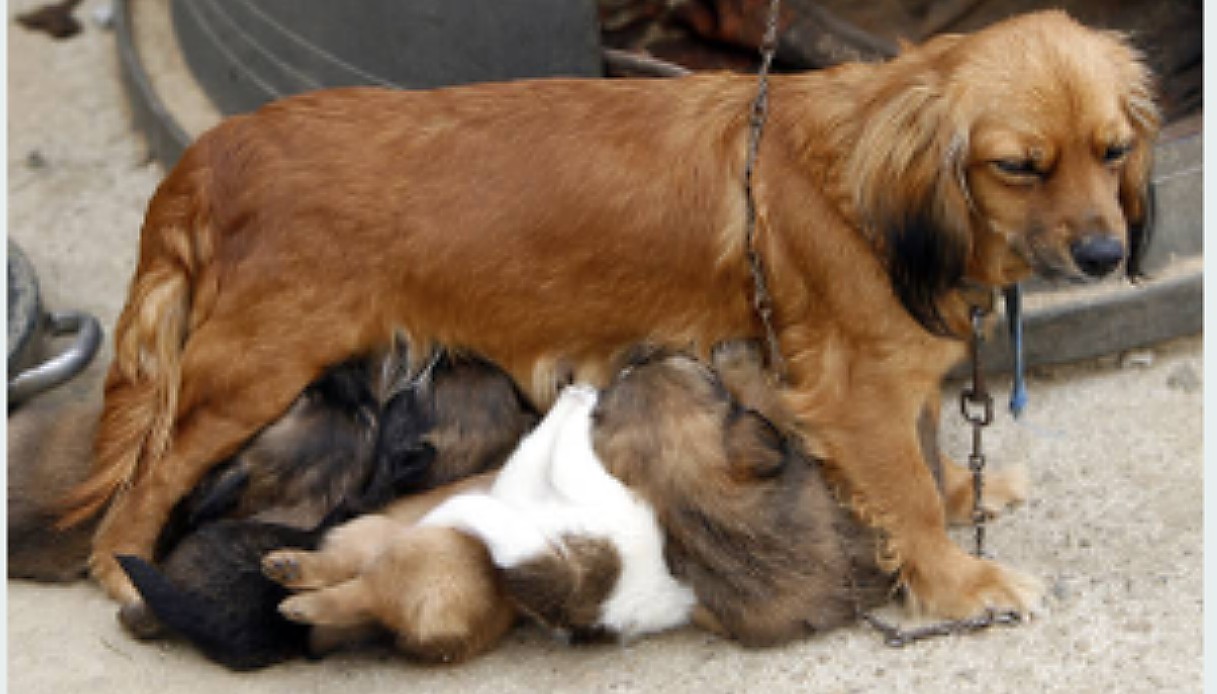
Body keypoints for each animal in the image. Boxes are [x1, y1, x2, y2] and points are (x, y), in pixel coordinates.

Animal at [69, 10, 1158, 616]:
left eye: (1111, 152)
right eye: (1018, 166)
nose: (1106, 256)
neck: (861, 180)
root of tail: (218, 149)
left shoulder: (897, 384)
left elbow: (926, 467)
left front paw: (968, 496)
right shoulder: (855, 390)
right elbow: (906, 491)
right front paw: (959, 585)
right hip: (253, 372)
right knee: (152, 473)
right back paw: (122, 569)